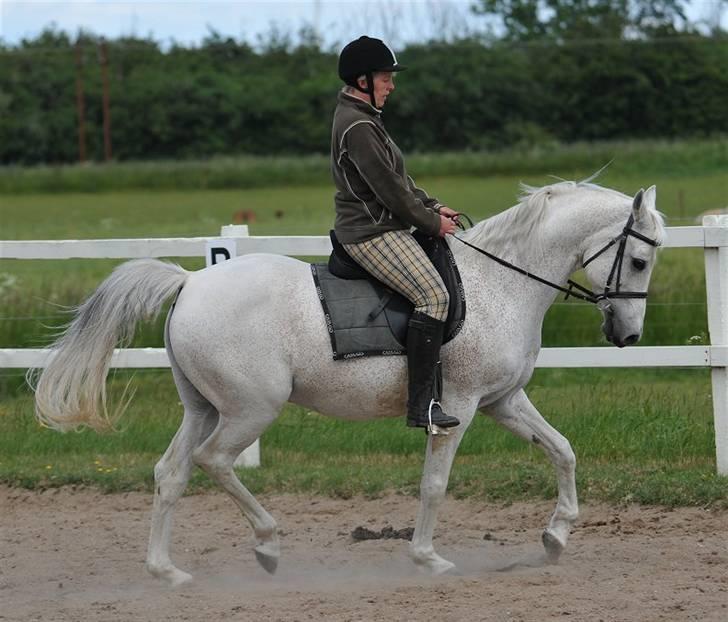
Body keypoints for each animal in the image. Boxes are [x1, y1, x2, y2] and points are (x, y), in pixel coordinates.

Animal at [29, 179, 664, 584]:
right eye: (638, 261)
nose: (629, 334)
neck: (501, 283)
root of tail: (190, 282)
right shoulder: (456, 406)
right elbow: (434, 485)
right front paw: (428, 559)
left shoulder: (504, 401)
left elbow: (562, 450)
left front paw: (556, 537)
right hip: (250, 410)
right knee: (215, 462)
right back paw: (267, 545)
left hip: (203, 409)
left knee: (171, 473)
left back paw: (167, 571)